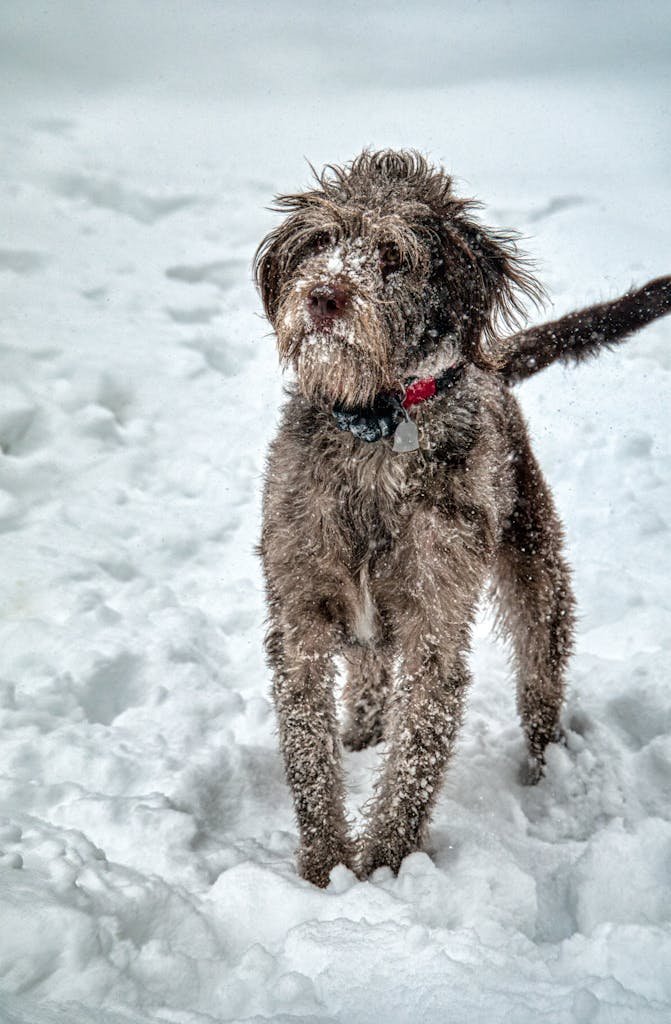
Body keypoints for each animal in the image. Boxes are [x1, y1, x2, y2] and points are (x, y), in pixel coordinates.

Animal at [255, 151, 667, 888]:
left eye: (392, 255)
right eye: (321, 241)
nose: (324, 296)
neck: (375, 427)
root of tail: (491, 364)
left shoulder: (434, 620)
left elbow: (417, 755)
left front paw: (386, 862)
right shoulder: (300, 616)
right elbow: (310, 759)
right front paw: (325, 868)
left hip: (538, 575)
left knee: (540, 678)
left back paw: (546, 772)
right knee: (368, 671)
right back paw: (362, 733)